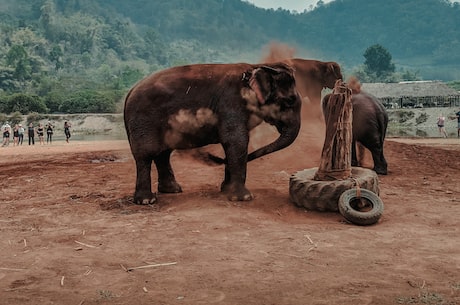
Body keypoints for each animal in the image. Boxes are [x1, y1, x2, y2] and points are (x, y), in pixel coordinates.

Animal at [124, 62, 302, 203]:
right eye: (289, 100)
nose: (214, 158)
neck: (256, 66)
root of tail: (130, 91)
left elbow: (233, 143)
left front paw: (226, 190)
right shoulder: (231, 103)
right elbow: (236, 141)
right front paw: (243, 198)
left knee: (163, 153)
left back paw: (172, 190)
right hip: (144, 121)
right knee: (145, 155)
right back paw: (147, 200)